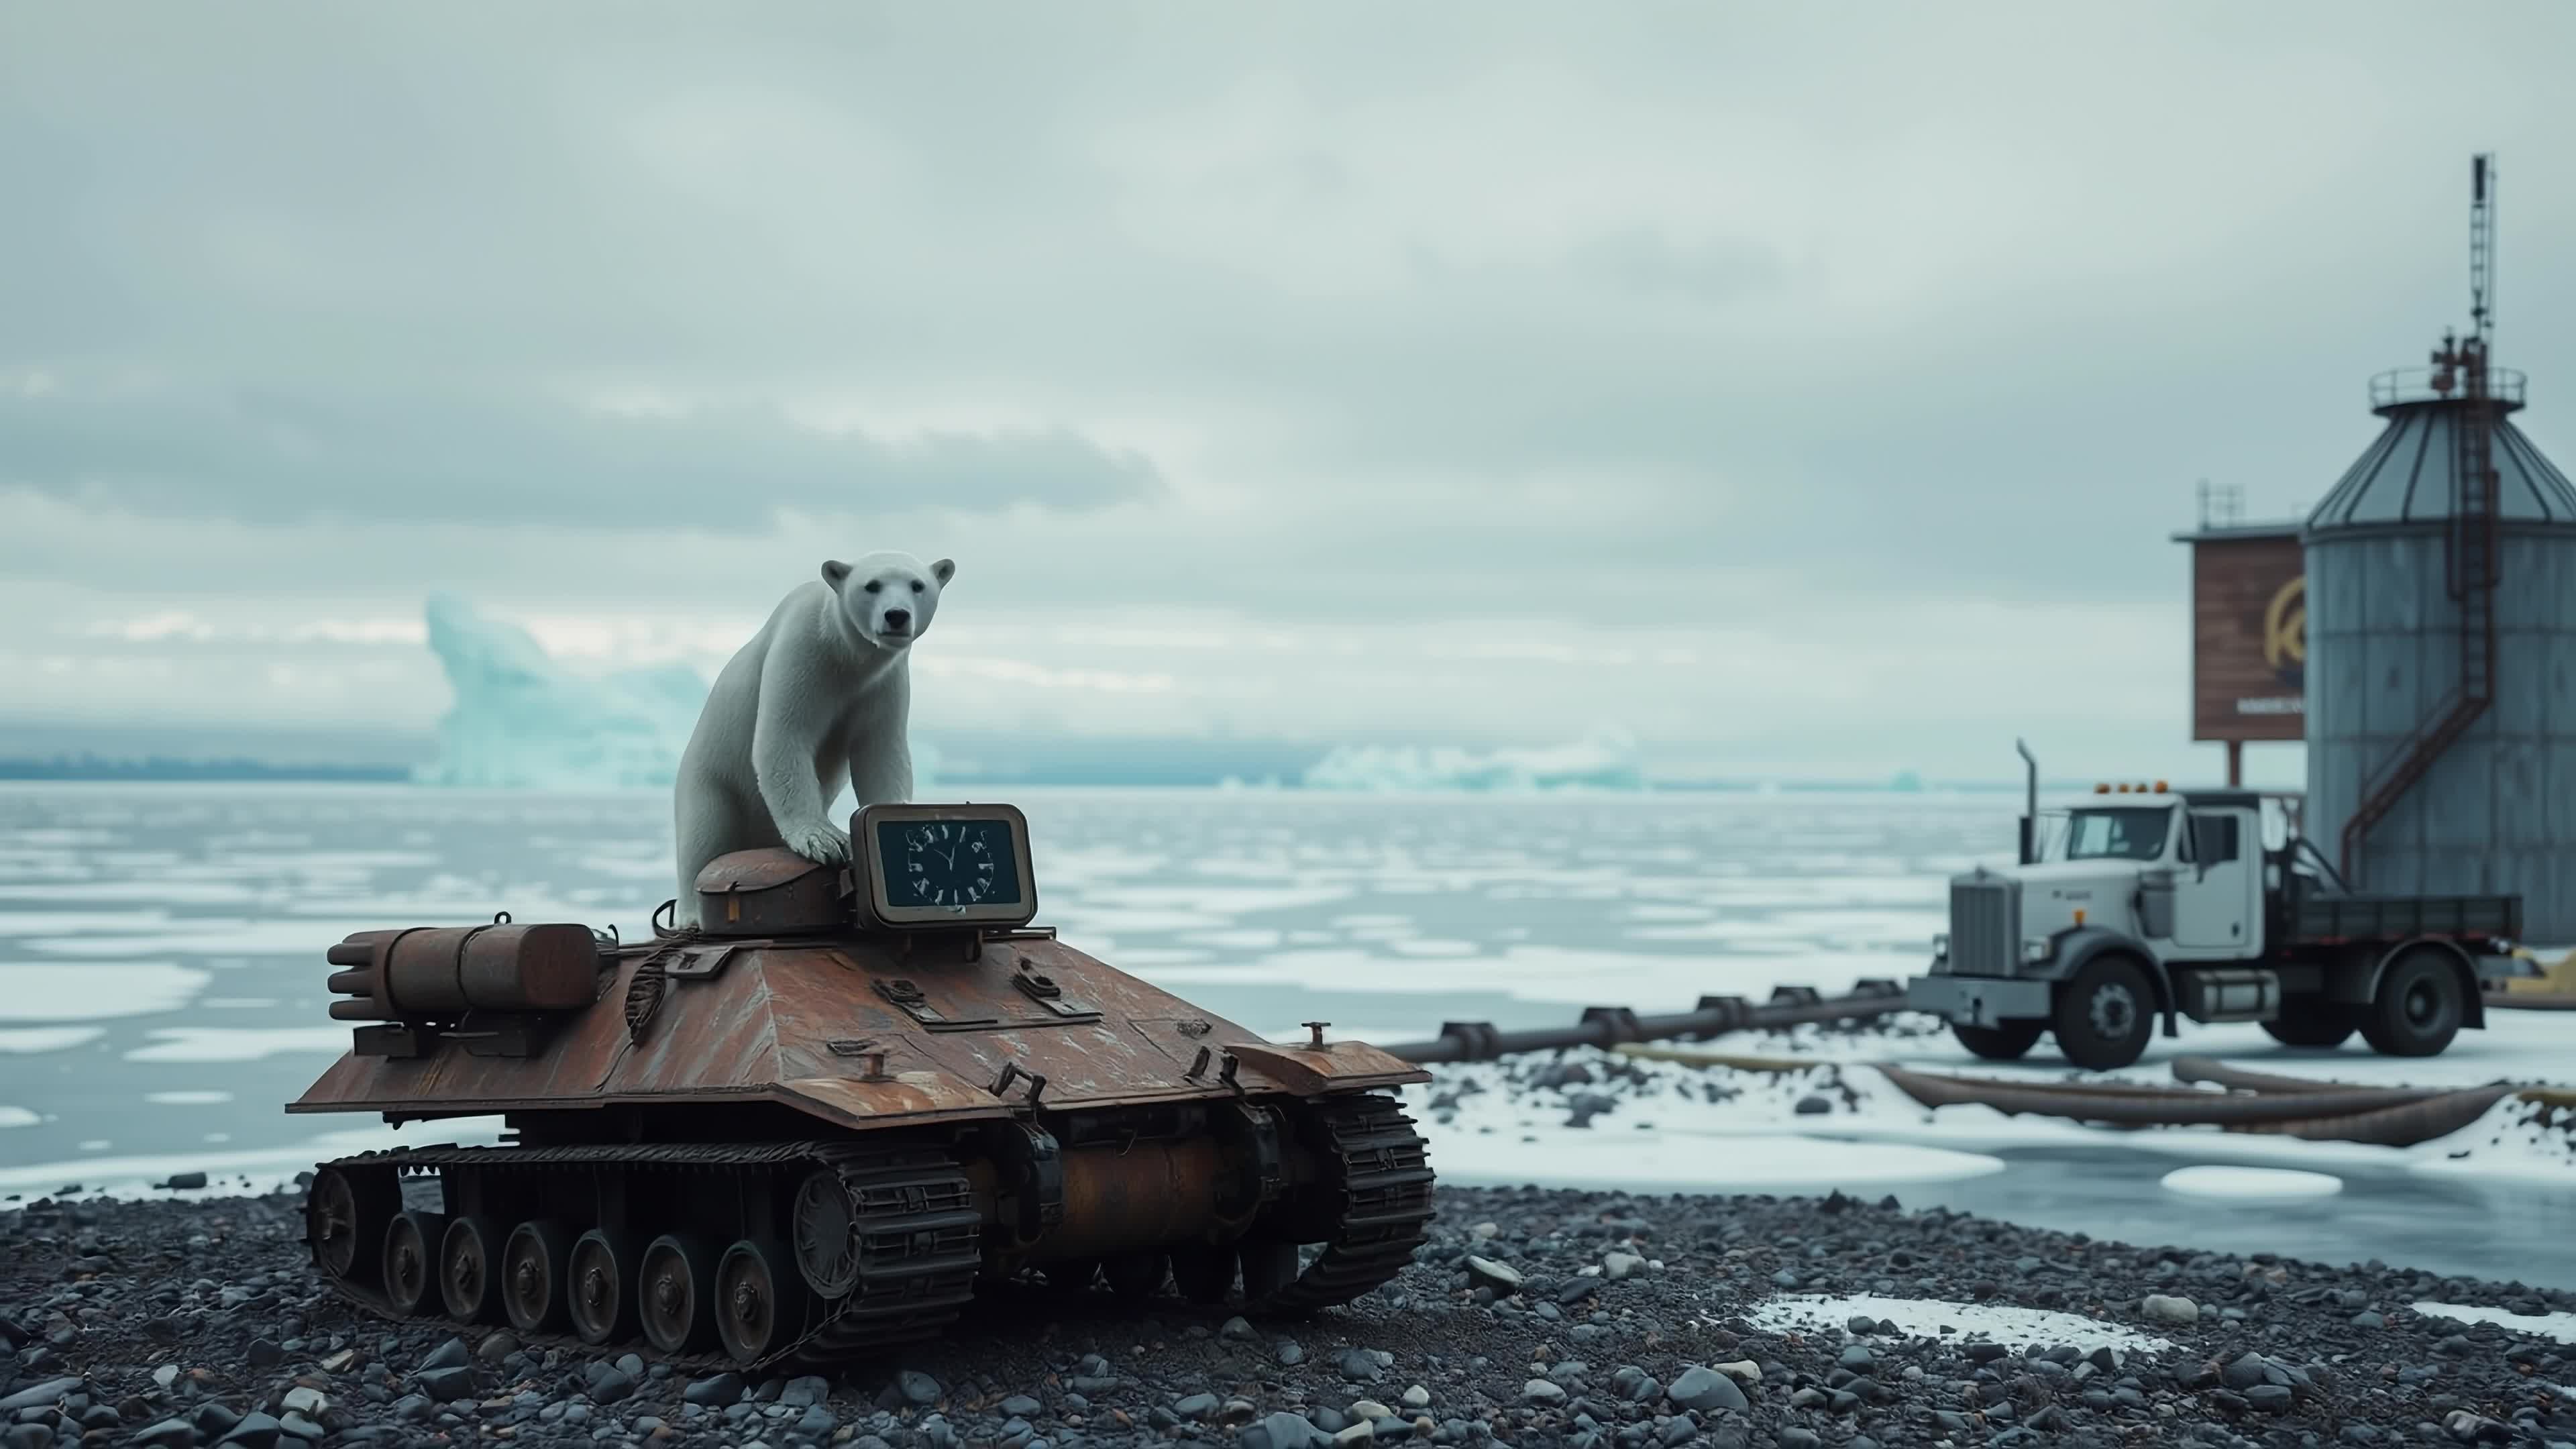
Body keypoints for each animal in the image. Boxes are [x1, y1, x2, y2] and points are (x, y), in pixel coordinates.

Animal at [669, 551, 954, 925]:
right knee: (703, 834)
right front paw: (824, 840)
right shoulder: (803, 653)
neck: (849, 653)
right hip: (709, 777)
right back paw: (691, 914)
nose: (896, 616)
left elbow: (879, 753)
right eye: (872, 585)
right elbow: (783, 737)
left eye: (917, 585)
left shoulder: (884, 683)